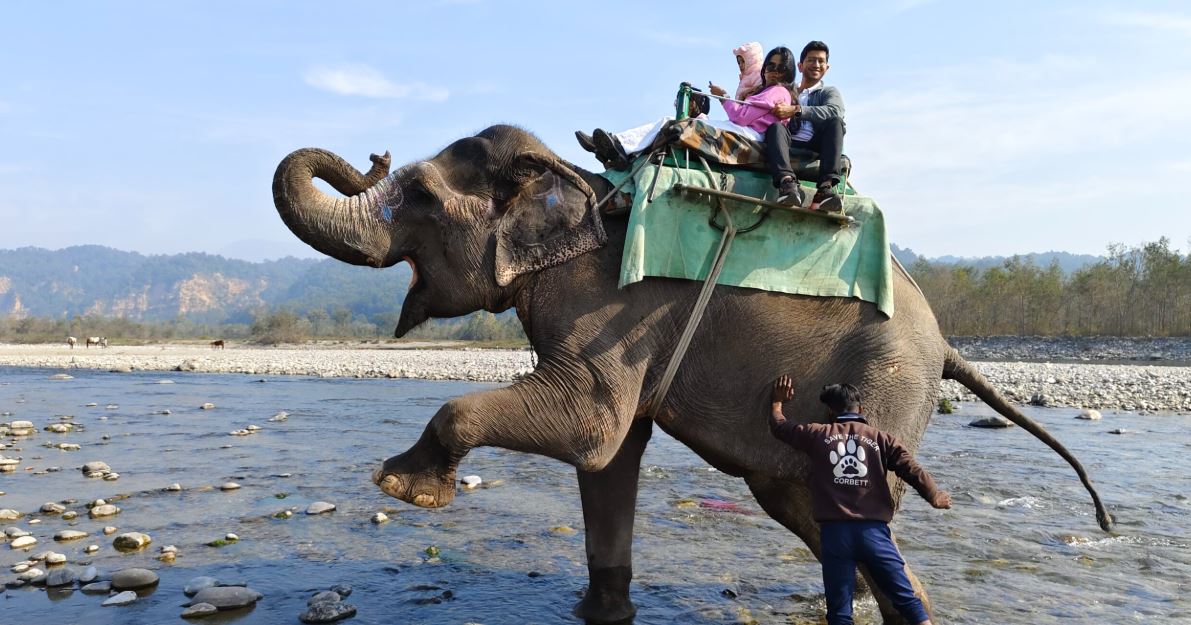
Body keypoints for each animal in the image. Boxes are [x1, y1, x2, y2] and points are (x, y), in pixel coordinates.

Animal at [273, 125, 1111, 624]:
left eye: (417, 195)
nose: (372, 153)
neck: (576, 181)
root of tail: (946, 343)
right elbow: (610, 454)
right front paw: (598, 613)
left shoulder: (612, 308)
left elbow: (589, 428)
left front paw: (401, 487)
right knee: (800, 505)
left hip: (887, 382)